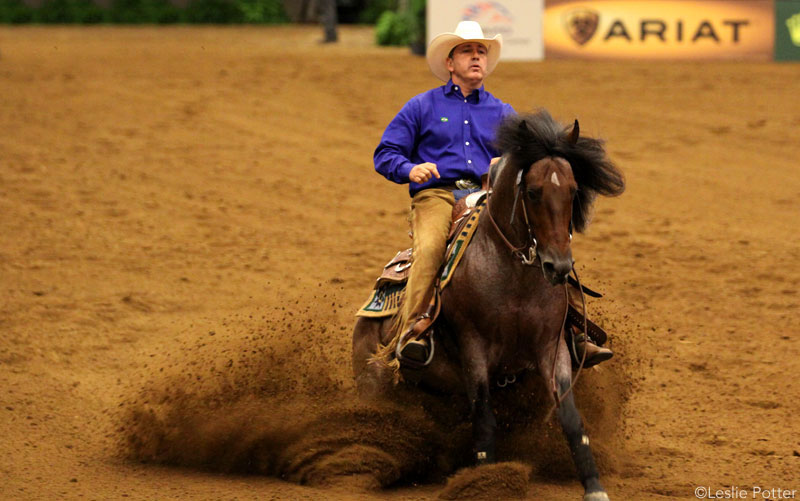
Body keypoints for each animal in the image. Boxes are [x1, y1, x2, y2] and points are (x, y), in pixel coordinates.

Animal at [354, 110, 624, 500]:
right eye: (532, 192)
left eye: (573, 191)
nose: (558, 266)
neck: (513, 277)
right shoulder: (474, 346)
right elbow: (484, 417)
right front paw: (487, 482)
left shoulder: (551, 346)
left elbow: (571, 419)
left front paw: (594, 487)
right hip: (372, 379)